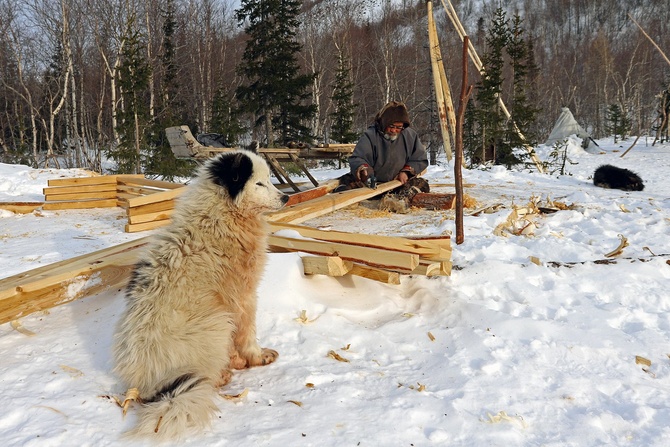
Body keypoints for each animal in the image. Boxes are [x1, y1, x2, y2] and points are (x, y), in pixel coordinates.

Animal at [112, 150, 288, 440]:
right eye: (259, 183)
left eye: (270, 180)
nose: (286, 198)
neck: (221, 215)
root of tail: (147, 381)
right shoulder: (242, 298)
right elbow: (248, 335)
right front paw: (256, 357)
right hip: (216, 322)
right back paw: (224, 374)